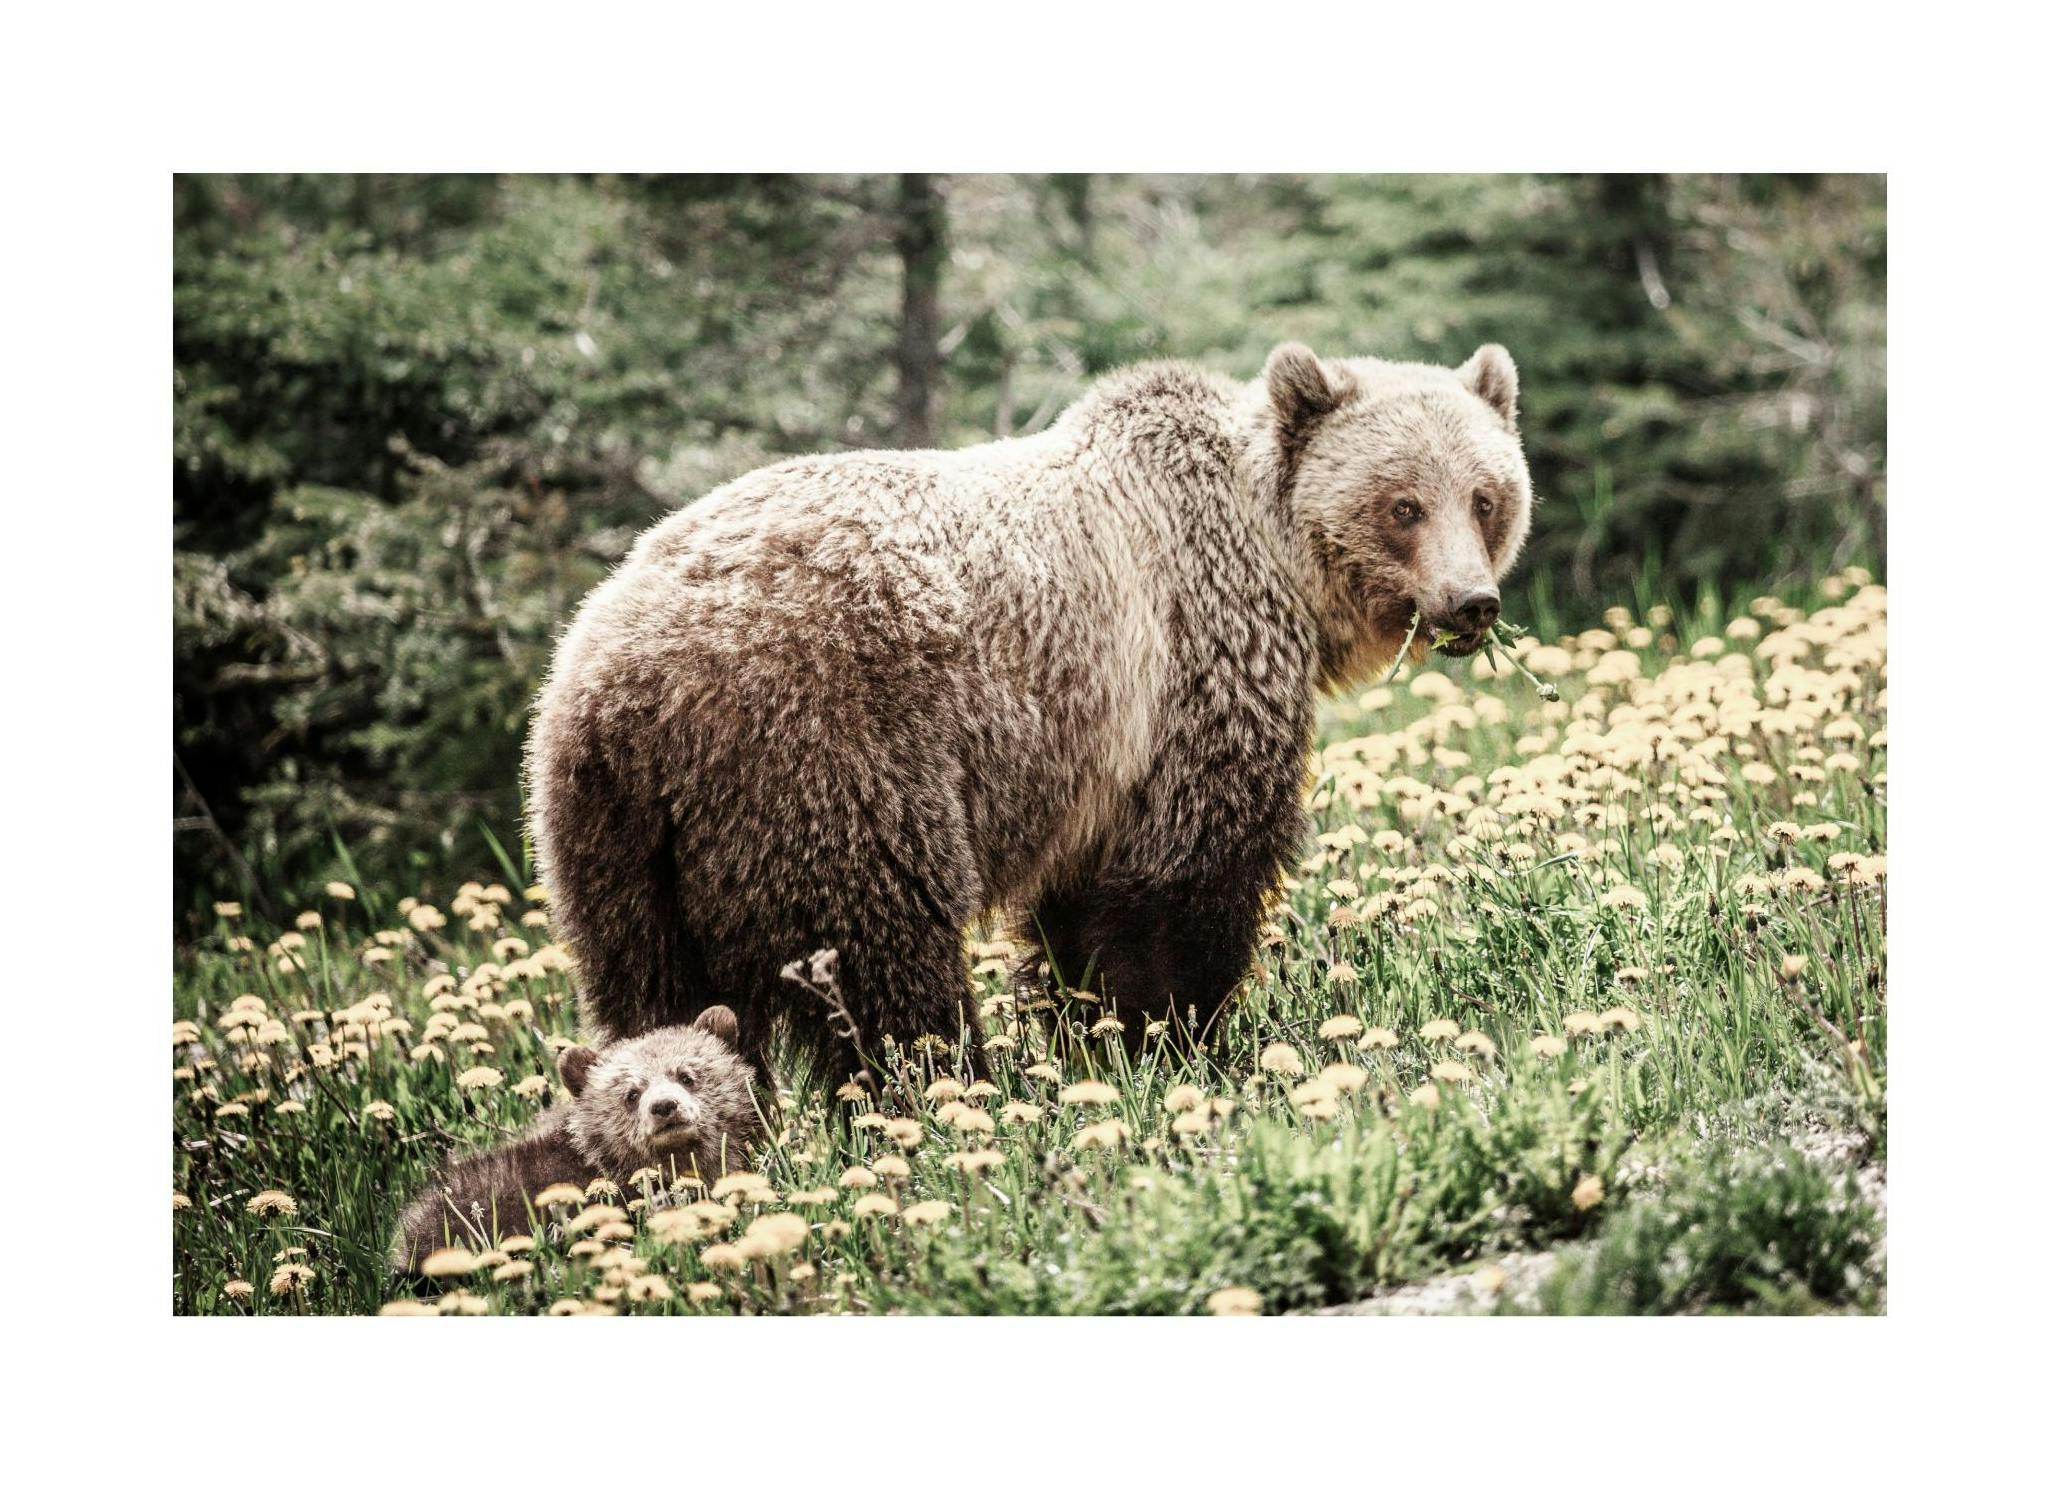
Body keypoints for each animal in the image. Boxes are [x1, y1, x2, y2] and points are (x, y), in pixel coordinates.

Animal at [527, 343, 1532, 1079]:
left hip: (614, 842)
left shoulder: (1101, 759)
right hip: (824, 753)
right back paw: (947, 1088)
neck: (1273, 560)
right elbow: (1185, 884)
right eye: (1403, 504)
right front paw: (1179, 1040)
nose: (1470, 604)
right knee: (882, 952)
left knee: (651, 994)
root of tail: (620, 681)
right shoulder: (1185, 675)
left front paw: (1095, 1034)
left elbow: (1080, 916)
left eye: (1486, 496)